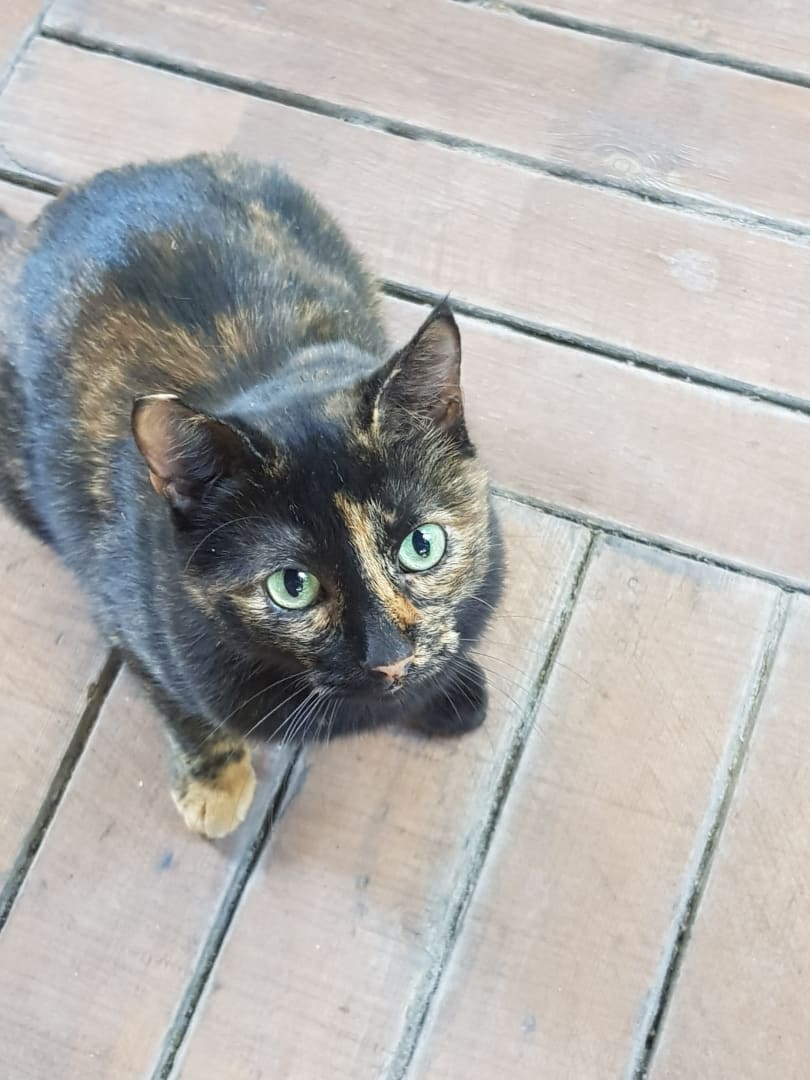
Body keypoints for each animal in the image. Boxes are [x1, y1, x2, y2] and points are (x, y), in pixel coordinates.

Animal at [0, 153, 503, 837]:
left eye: (422, 545)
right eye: (292, 586)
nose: (390, 657)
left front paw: (448, 687)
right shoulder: (125, 610)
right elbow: (176, 698)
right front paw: (214, 781)